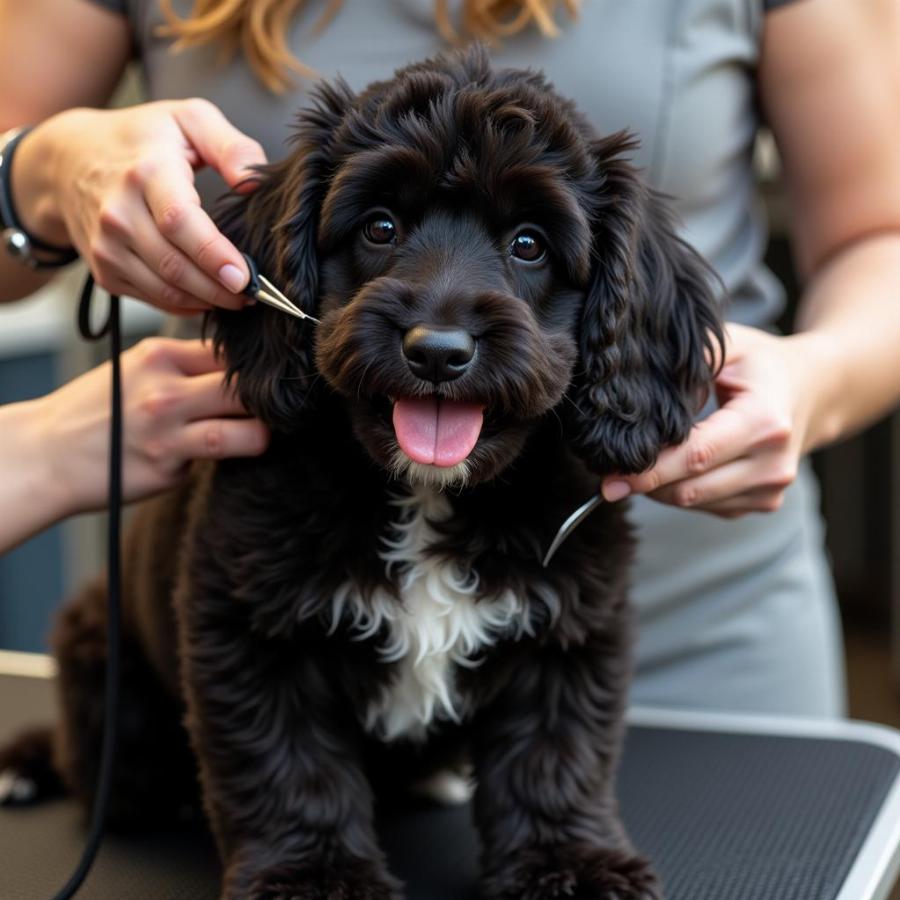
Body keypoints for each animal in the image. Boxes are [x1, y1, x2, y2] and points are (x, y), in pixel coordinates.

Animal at [0, 51, 724, 900]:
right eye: (380, 227)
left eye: (530, 244)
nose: (438, 351)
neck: (426, 493)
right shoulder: (251, 626)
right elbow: (289, 764)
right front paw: (311, 876)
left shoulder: (569, 627)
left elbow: (554, 757)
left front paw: (568, 865)